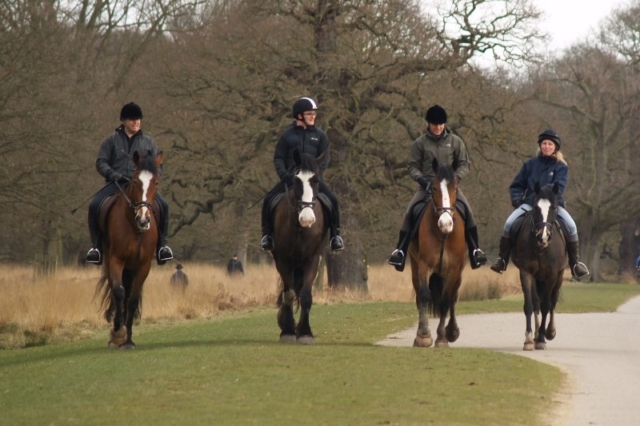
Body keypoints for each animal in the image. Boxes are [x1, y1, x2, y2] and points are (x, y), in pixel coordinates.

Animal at [96, 150, 165, 350]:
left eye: (156, 182)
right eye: (135, 181)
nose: (143, 219)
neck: (135, 228)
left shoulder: (144, 264)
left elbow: (132, 299)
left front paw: (128, 340)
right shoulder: (116, 260)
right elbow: (119, 292)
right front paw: (118, 332)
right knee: (115, 290)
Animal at [408, 158, 468, 348]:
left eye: (455, 188)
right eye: (433, 188)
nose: (446, 223)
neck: (442, 234)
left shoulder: (453, 269)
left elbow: (445, 301)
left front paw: (442, 338)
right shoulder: (423, 265)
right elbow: (424, 296)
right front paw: (423, 336)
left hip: (459, 273)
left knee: (453, 297)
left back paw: (452, 332)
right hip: (414, 267)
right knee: (419, 297)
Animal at [510, 181, 564, 352]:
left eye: (554, 208)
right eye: (535, 208)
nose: (543, 236)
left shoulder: (552, 275)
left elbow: (547, 305)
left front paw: (541, 338)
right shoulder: (526, 273)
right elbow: (530, 304)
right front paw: (528, 339)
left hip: (559, 276)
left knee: (553, 300)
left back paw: (550, 331)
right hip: (536, 277)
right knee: (536, 302)